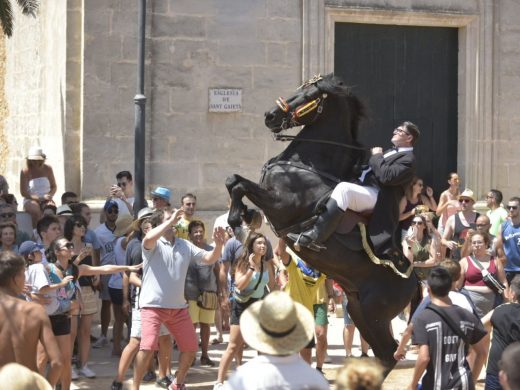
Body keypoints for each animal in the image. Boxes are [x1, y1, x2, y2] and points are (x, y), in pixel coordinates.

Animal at [226, 74, 418, 372]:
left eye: (309, 96)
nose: (270, 116)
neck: (308, 166)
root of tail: (417, 281)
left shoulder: (281, 204)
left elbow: (238, 186)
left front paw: (240, 222)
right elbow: (233, 181)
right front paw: (245, 217)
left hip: (374, 313)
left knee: (388, 353)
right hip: (358, 310)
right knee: (385, 354)